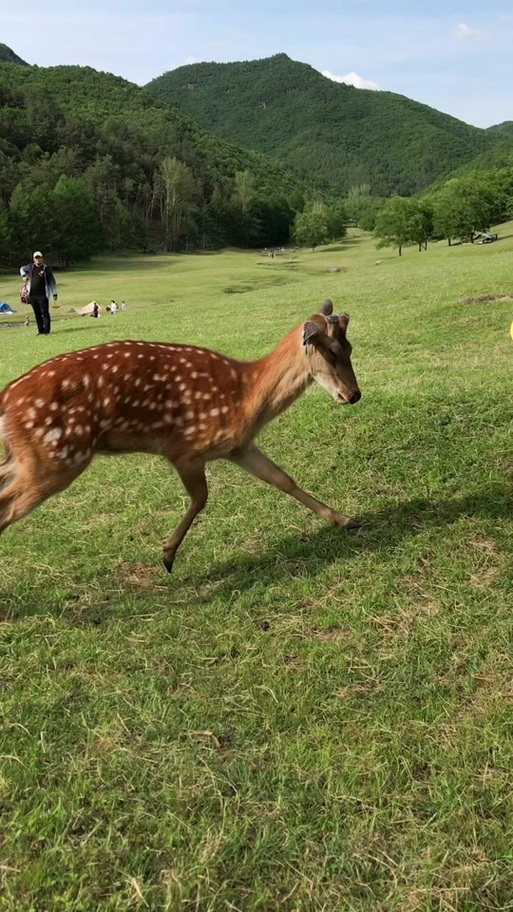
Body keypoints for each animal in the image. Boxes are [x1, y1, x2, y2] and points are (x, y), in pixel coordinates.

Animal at [0, 299, 361, 573]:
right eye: (330, 353)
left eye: (350, 348)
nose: (353, 395)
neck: (246, 397)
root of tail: (6, 400)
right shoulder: (184, 447)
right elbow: (201, 497)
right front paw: (167, 554)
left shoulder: (238, 446)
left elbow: (282, 479)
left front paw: (344, 520)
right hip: (57, 456)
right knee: (6, 509)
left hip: (28, 456)